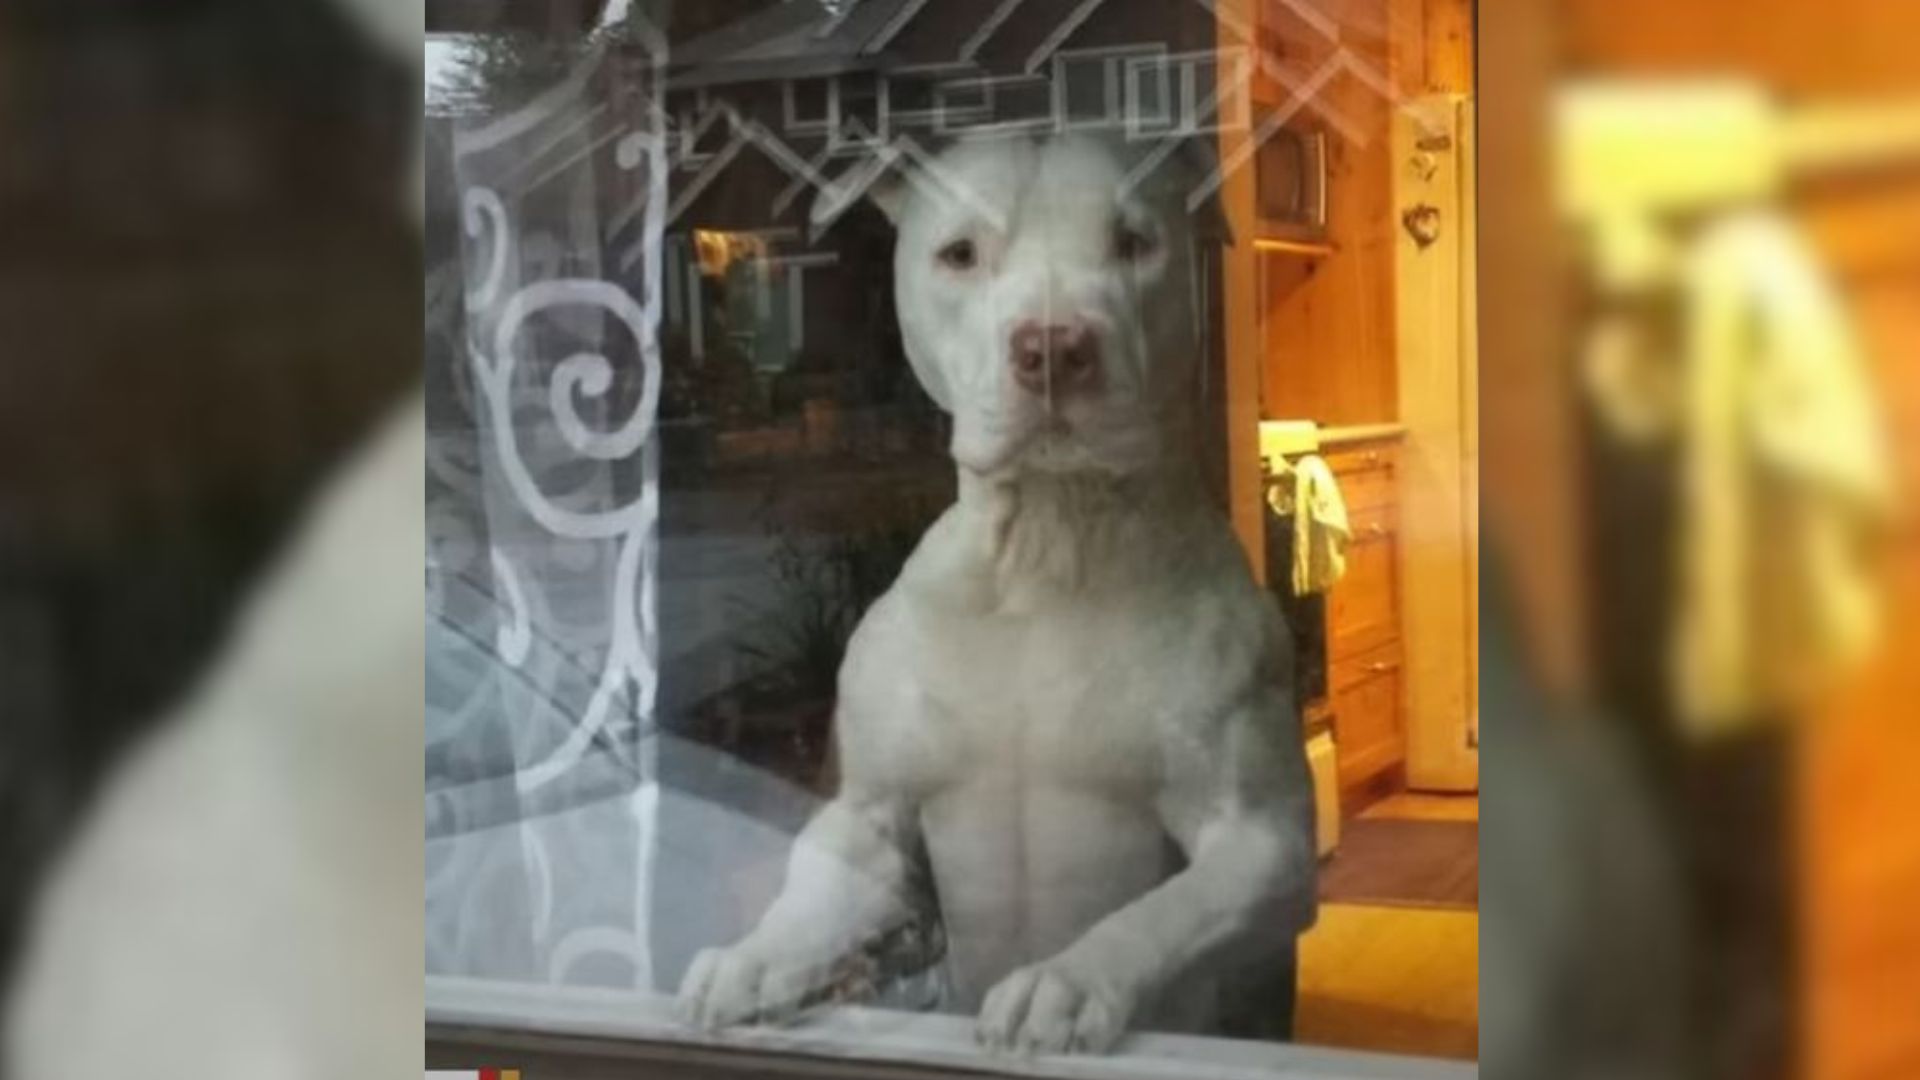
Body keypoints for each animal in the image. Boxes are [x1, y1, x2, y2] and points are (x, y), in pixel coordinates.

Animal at [679, 134, 1320, 1053]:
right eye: (959, 254)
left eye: (1133, 242)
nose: (1053, 347)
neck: (1043, 551)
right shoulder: (870, 815)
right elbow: (819, 878)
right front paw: (759, 957)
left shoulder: (1261, 841)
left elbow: (1157, 915)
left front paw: (1066, 980)